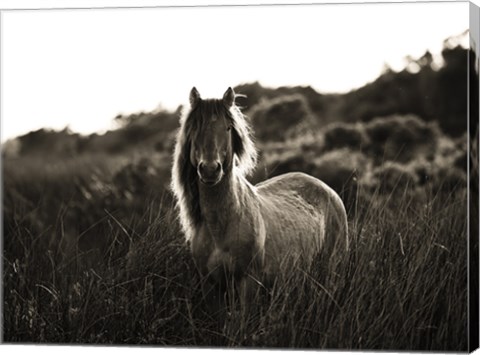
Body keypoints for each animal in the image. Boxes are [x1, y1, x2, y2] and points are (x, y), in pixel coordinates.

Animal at [171, 87, 346, 308]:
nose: (210, 170)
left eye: (228, 128)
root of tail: (330, 191)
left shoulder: (249, 282)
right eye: (195, 128)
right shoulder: (210, 286)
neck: (221, 226)